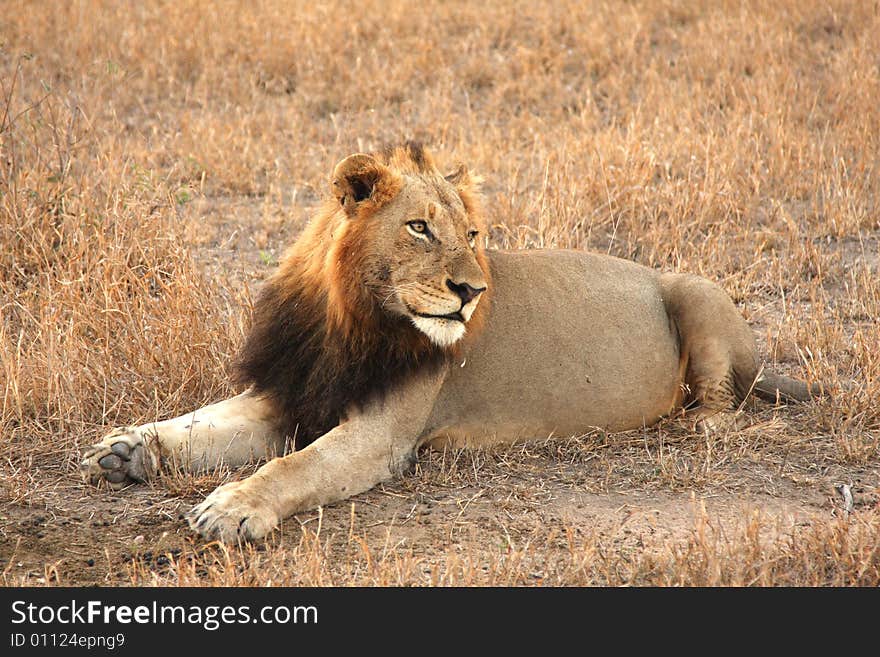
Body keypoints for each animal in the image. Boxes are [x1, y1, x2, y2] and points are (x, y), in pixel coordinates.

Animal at [79, 141, 820, 540]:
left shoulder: (380, 436)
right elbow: (199, 423)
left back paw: (692, 424)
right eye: (419, 227)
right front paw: (127, 449)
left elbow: (292, 468)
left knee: (723, 403)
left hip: (693, 286)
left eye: (471, 234)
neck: (349, 319)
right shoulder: (287, 396)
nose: (472, 291)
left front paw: (233, 508)